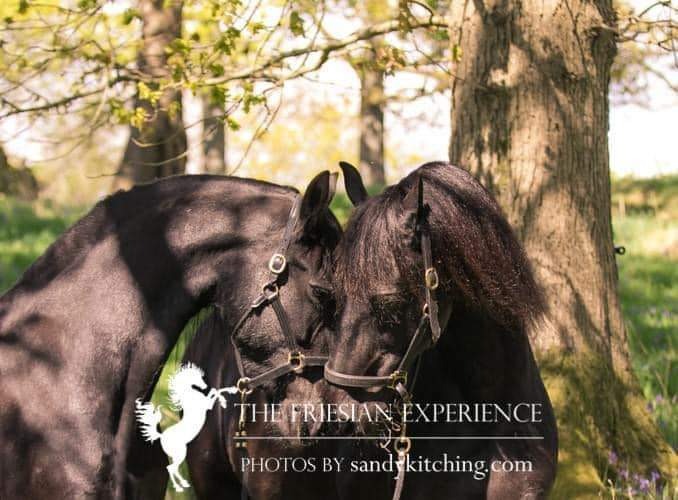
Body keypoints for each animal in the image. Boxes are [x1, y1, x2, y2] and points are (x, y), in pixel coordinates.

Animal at [135, 362, 231, 492]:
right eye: (198, 378)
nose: (205, 385)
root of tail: (161, 436)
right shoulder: (207, 405)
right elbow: (215, 391)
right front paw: (225, 399)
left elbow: (215, 391)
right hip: (180, 454)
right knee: (171, 468)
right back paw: (180, 487)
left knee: (172, 468)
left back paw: (183, 484)